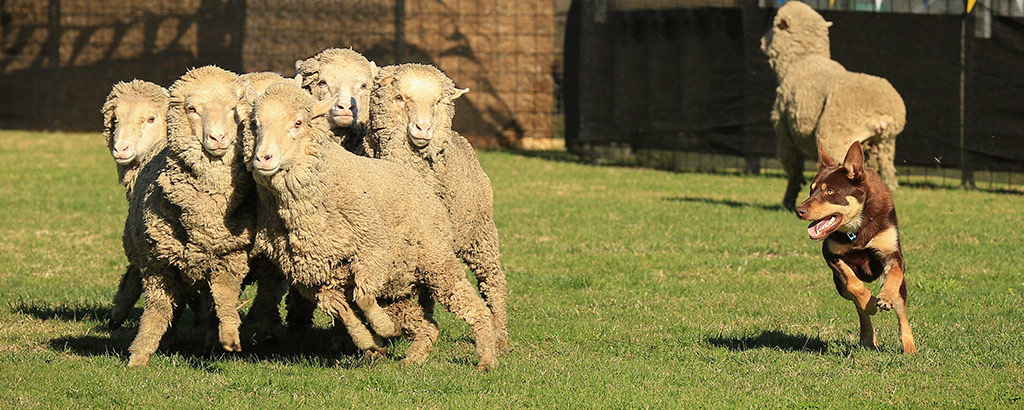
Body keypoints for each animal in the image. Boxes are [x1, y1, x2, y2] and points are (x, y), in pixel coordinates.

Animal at [245, 81, 497, 369]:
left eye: (298, 123)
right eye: (255, 124)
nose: (263, 158)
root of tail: (416, 177)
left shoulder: (373, 252)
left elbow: (363, 297)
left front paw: (384, 329)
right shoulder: (315, 279)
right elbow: (343, 310)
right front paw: (369, 341)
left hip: (435, 262)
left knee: (473, 306)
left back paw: (487, 356)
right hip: (396, 287)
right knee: (428, 324)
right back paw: (414, 357)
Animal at [368, 62, 512, 350]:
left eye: (436, 102)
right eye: (399, 97)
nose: (423, 128)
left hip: (480, 233)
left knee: (493, 280)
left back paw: (500, 335)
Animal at [761, 0, 905, 211]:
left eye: (773, 24)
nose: (762, 41)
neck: (803, 60)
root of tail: (881, 113)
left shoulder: (785, 135)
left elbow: (794, 171)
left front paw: (788, 202)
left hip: (836, 136)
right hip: (884, 145)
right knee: (888, 177)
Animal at [794, 140, 917, 352]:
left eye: (830, 191)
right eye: (811, 190)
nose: (798, 210)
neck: (857, 227)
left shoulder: (893, 255)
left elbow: (894, 274)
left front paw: (885, 297)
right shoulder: (831, 255)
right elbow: (854, 285)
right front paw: (870, 303)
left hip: (901, 290)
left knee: (901, 313)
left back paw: (910, 349)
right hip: (839, 286)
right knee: (858, 305)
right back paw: (868, 335)